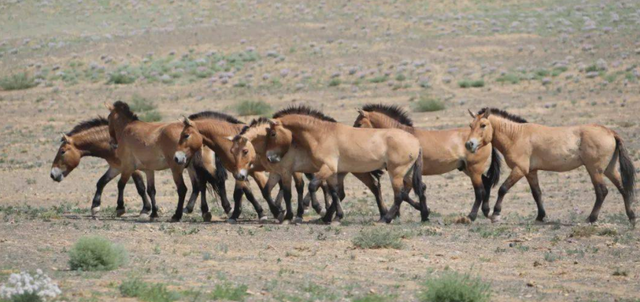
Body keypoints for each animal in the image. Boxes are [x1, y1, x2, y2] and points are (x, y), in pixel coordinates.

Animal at [230, 117, 390, 223]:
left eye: (244, 151)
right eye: (231, 151)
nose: (240, 175)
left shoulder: (287, 171)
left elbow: (288, 193)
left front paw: (288, 215)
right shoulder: (276, 172)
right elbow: (266, 191)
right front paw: (279, 212)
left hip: (357, 171)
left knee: (374, 186)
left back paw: (383, 214)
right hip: (341, 172)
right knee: (340, 192)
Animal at [264, 105, 430, 223]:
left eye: (272, 134)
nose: (270, 158)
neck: (322, 134)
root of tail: (416, 142)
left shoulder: (327, 168)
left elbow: (314, 186)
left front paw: (319, 212)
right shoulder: (332, 172)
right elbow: (334, 191)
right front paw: (332, 216)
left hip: (395, 173)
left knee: (399, 194)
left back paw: (387, 218)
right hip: (406, 173)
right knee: (415, 188)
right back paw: (423, 214)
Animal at [352, 104, 502, 222]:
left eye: (359, 124)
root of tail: (487, 140)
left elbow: (406, 193)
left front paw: (420, 212)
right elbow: (411, 192)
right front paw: (422, 212)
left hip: (474, 170)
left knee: (480, 191)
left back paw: (472, 216)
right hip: (468, 169)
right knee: (487, 183)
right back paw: (486, 211)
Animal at [464, 107, 636, 225]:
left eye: (483, 125)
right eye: (470, 125)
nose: (469, 144)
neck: (517, 135)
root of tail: (610, 132)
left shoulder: (520, 170)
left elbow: (503, 189)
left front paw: (495, 214)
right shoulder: (531, 172)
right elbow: (537, 193)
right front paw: (540, 216)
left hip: (595, 170)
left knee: (602, 192)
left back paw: (591, 218)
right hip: (609, 169)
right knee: (623, 189)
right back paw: (631, 216)